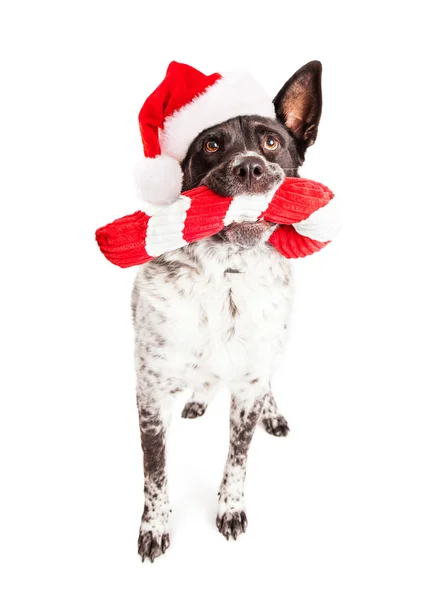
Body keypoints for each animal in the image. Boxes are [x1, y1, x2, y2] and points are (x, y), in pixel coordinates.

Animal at [132, 61, 322, 564]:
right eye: (211, 145)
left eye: (271, 142)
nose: (251, 167)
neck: (224, 277)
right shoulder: (150, 396)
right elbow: (155, 472)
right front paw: (155, 527)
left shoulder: (248, 386)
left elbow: (237, 457)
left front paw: (230, 508)